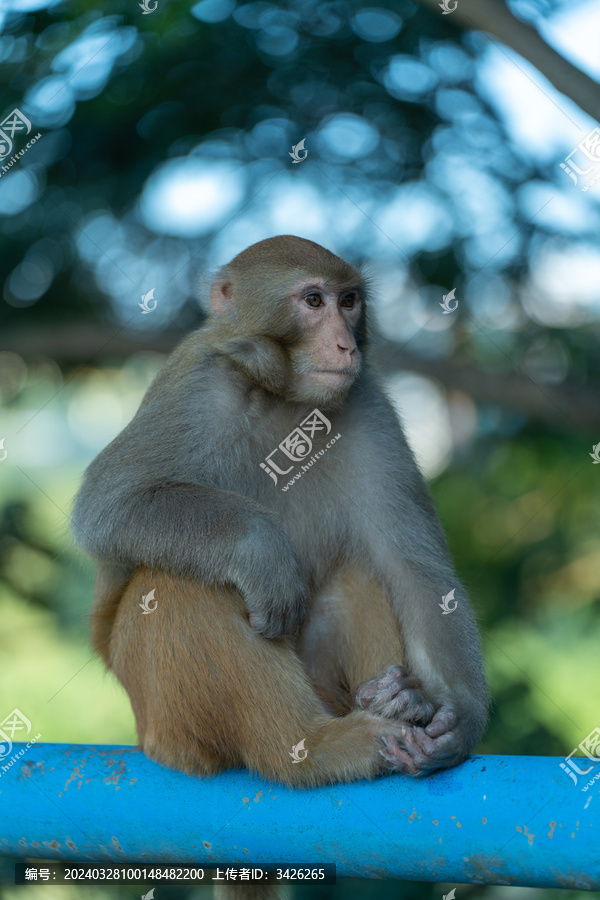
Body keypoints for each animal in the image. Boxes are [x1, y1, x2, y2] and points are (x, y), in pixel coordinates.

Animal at [72, 236, 490, 896]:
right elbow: (109, 505)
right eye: (312, 301)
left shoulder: (367, 403)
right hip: (166, 726)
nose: (345, 344)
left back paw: (402, 702)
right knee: (176, 584)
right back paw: (312, 750)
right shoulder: (194, 383)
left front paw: (458, 721)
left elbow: (415, 570)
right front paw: (259, 550)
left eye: (349, 302)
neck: (284, 398)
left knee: (358, 577)